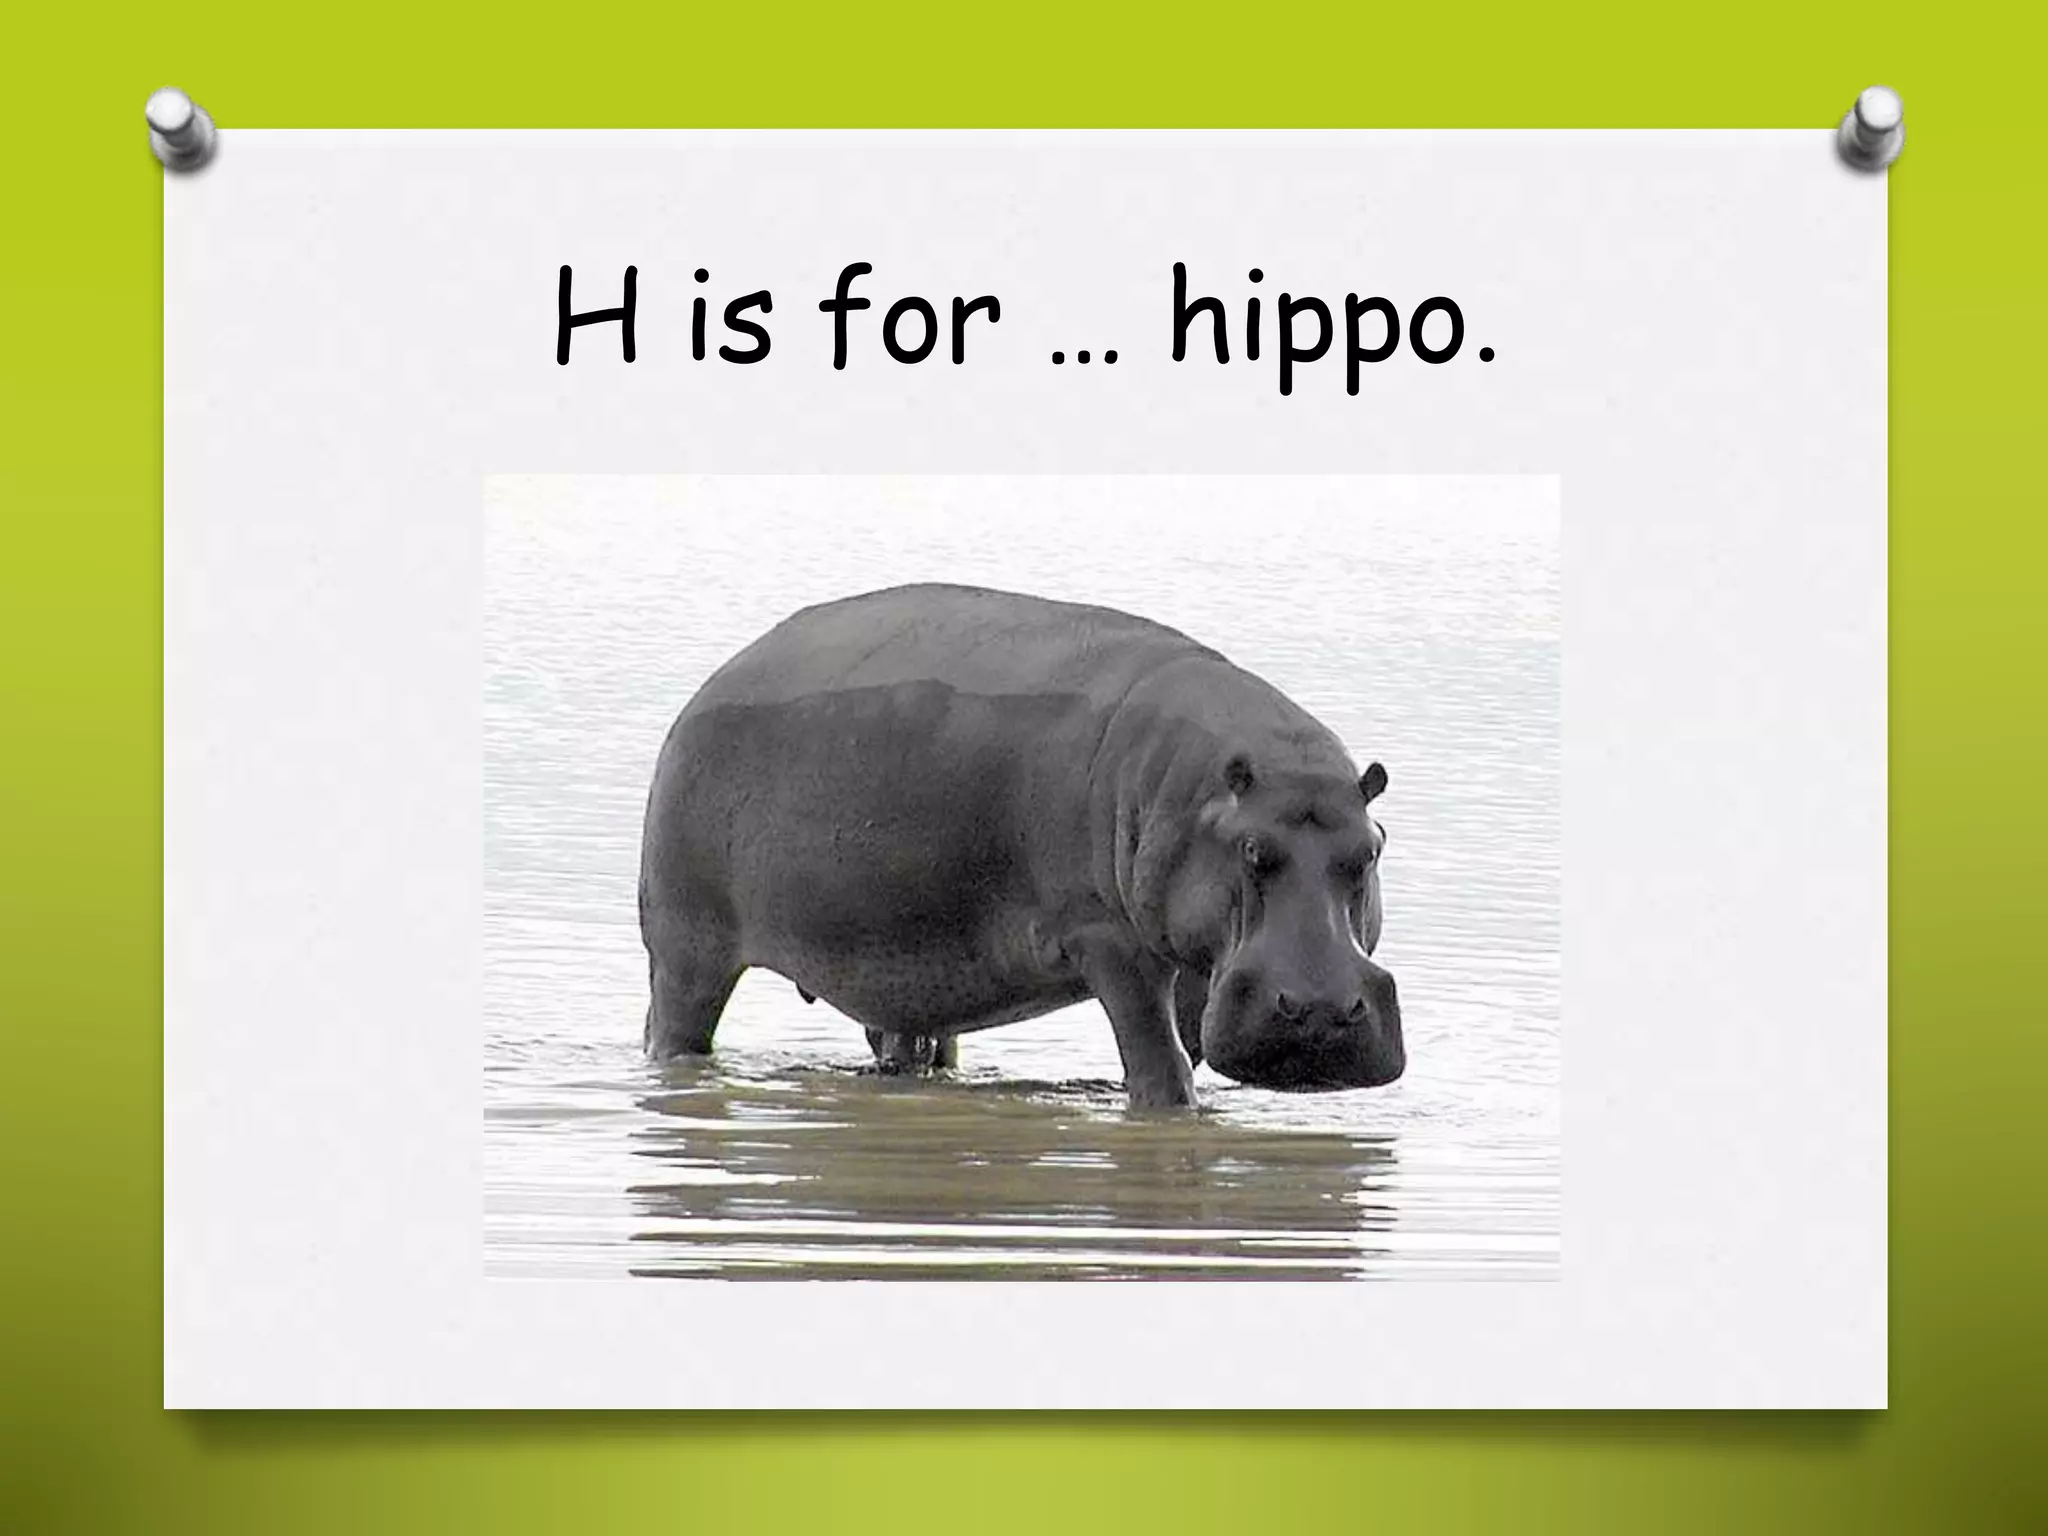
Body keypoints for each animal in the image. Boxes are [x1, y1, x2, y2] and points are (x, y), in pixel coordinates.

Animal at [638, 583, 1402, 1109]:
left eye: (1370, 849)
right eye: (1250, 849)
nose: (1322, 1009)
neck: (1202, 794)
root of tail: (709, 685)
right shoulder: (1109, 939)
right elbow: (1158, 1062)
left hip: (901, 972)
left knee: (908, 1042)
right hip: (686, 948)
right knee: (675, 1025)